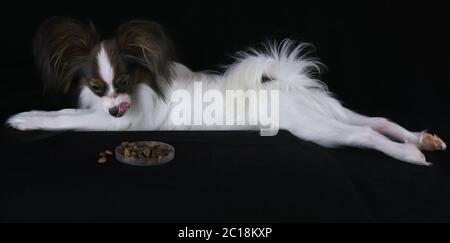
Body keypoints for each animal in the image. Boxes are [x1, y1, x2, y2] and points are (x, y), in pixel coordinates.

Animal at [7, 17, 446, 165]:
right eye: (97, 87)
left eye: (125, 83)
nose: (115, 107)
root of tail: (288, 84)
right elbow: (69, 112)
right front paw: (26, 116)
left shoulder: (117, 124)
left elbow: (65, 119)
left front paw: (26, 119)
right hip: (334, 113)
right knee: (379, 120)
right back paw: (421, 139)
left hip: (317, 129)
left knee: (366, 134)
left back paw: (410, 154)